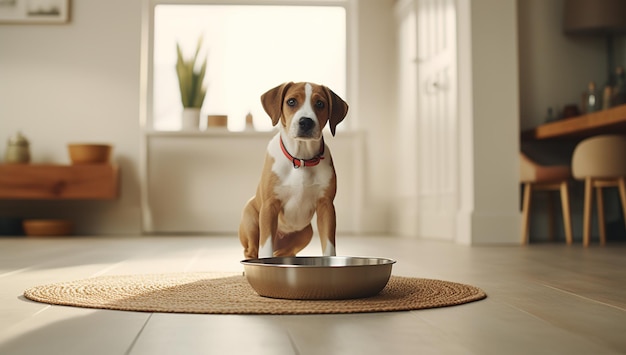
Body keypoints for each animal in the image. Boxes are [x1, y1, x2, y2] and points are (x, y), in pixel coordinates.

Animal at [238, 81, 346, 258]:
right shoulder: (269, 207)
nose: (306, 122)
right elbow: (265, 249)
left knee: (284, 253)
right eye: (291, 101)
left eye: (320, 104)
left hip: (306, 233)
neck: (301, 159)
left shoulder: (326, 207)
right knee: (252, 251)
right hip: (252, 221)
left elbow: (329, 246)